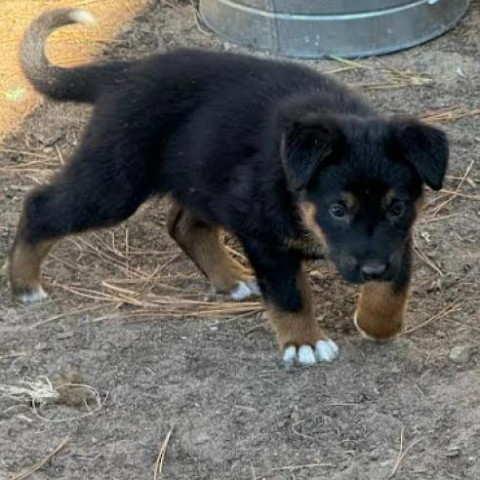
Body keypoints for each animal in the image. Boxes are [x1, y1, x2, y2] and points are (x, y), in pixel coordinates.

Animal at [9, 8, 448, 368]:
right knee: (40, 206)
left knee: (184, 226)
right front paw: (304, 343)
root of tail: (122, 72)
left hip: (203, 176)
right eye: (338, 210)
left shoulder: (397, 241)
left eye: (397, 207)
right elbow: (289, 293)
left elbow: (394, 287)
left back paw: (230, 281)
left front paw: (374, 323)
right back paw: (23, 284)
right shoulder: (264, 236)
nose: (371, 269)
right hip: (116, 182)